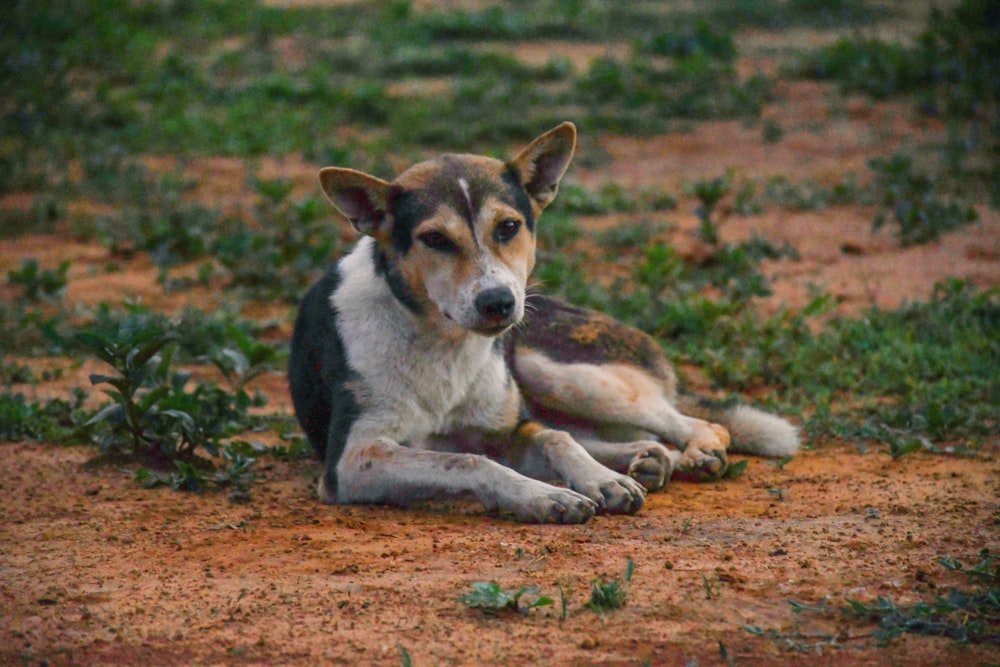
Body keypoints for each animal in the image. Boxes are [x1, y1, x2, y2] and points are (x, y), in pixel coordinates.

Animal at [288, 122, 796, 524]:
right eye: (434, 239)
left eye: (508, 227)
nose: (498, 302)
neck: (443, 345)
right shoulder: (354, 459)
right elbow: (469, 461)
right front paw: (546, 495)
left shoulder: (505, 428)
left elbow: (553, 438)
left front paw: (598, 480)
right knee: (633, 435)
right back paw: (647, 459)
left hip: (557, 372)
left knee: (689, 423)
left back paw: (687, 453)